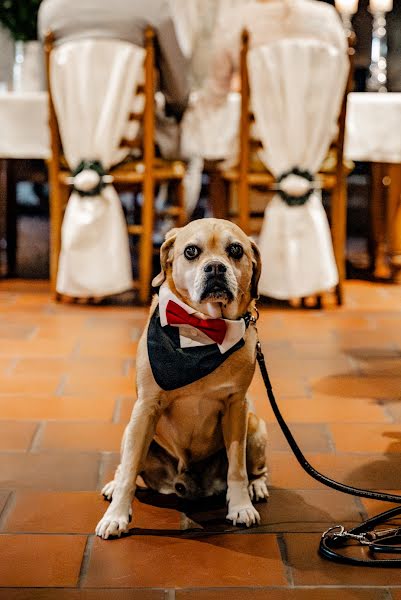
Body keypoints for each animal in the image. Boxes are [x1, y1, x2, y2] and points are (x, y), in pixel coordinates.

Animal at [95, 217, 268, 540]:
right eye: (191, 251)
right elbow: (129, 471)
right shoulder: (146, 408)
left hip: (254, 426)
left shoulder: (236, 407)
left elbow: (237, 468)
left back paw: (257, 486)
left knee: (254, 469)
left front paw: (241, 506)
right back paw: (113, 485)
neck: (204, 330)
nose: (215, 268)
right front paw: (116, 516)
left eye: (235, 250)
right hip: (131, 429)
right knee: (127, 464)